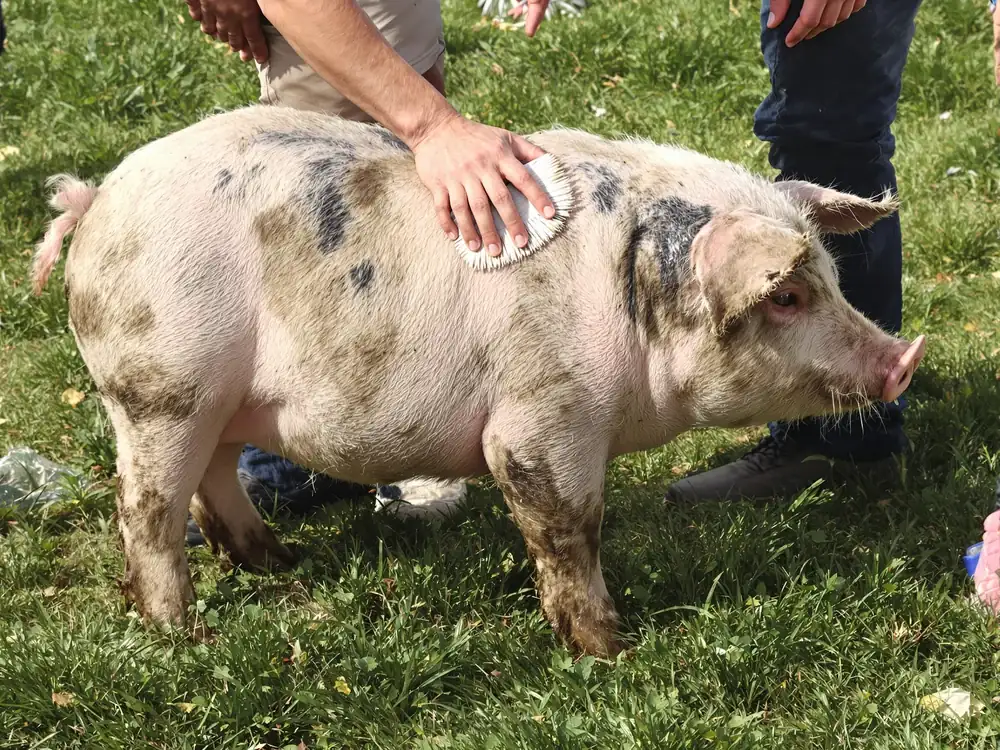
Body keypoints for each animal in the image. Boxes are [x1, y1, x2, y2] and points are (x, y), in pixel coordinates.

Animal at [31, 104, 925, 657]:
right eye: (786, 296)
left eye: (831, 276)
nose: (903, 358)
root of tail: (96, 198)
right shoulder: (540, 418)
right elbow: (568, 528)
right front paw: (614, 648)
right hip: (160, 385)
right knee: (145, 509)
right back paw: (187, 634)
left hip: (216, 399)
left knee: (212, 482)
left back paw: (281, 564)